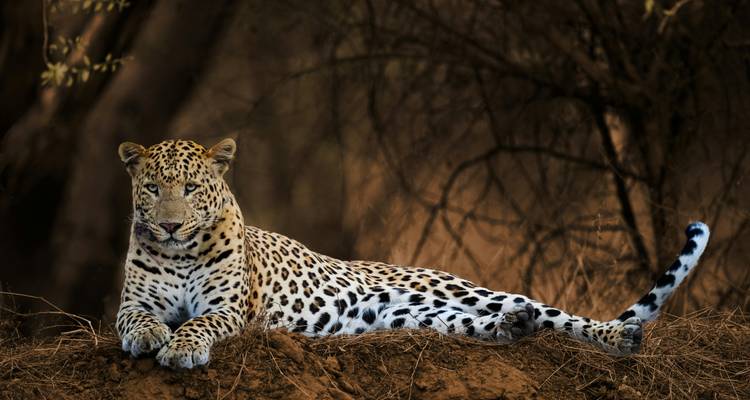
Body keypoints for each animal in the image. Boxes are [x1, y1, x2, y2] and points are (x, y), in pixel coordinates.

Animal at [116, 138, 710, 369]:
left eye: (191, 188)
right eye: (153, 188)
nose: (169, 225)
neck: (181, 255)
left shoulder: (228, 307)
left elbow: (199, 323)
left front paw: (180, 348)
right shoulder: (132, 300)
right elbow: (139, 318)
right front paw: (149, 337)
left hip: (462, 288)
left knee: (559, 315)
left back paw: (618, 337)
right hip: (411, 315)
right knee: (494, 323)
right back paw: (512, 328)